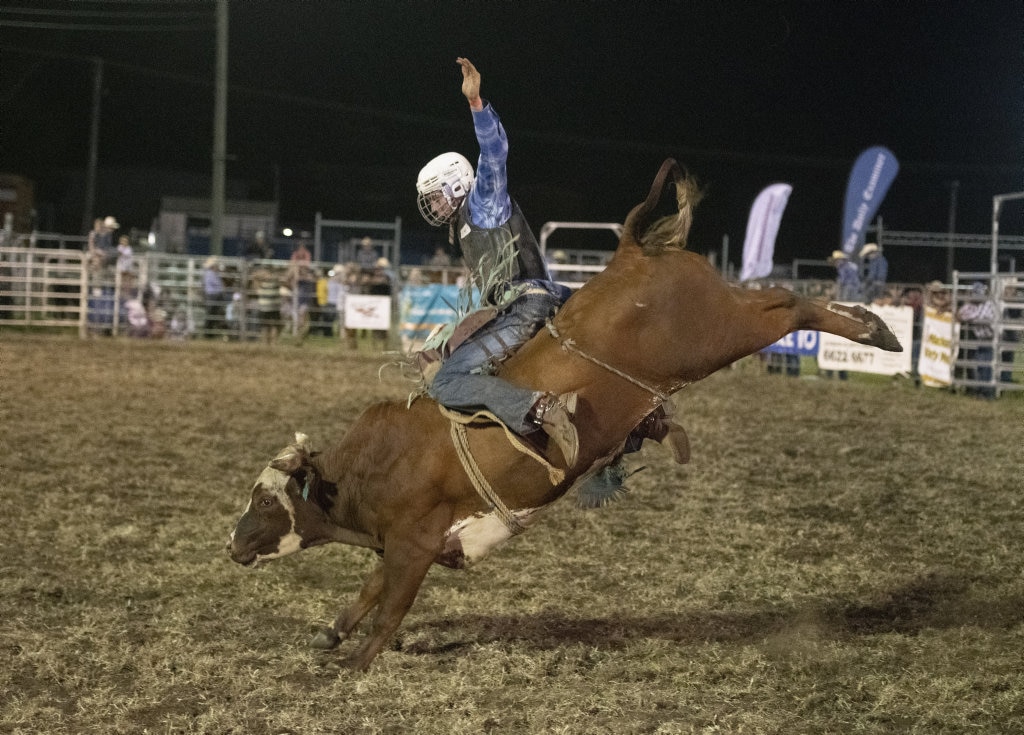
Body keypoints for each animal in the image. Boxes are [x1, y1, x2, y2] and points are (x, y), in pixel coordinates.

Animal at [228, 159, 901, 675]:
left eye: (263, 501)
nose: (231, 544)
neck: (371, 467)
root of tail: (632, 252)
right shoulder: (393, 545)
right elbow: (368, 593)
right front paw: (330, 634)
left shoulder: (414, 545)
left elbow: (390, 606)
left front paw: (356, 662)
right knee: (781, 302)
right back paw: (871, 322)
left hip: (719, 331)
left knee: (785, 305)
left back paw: (875, 328)